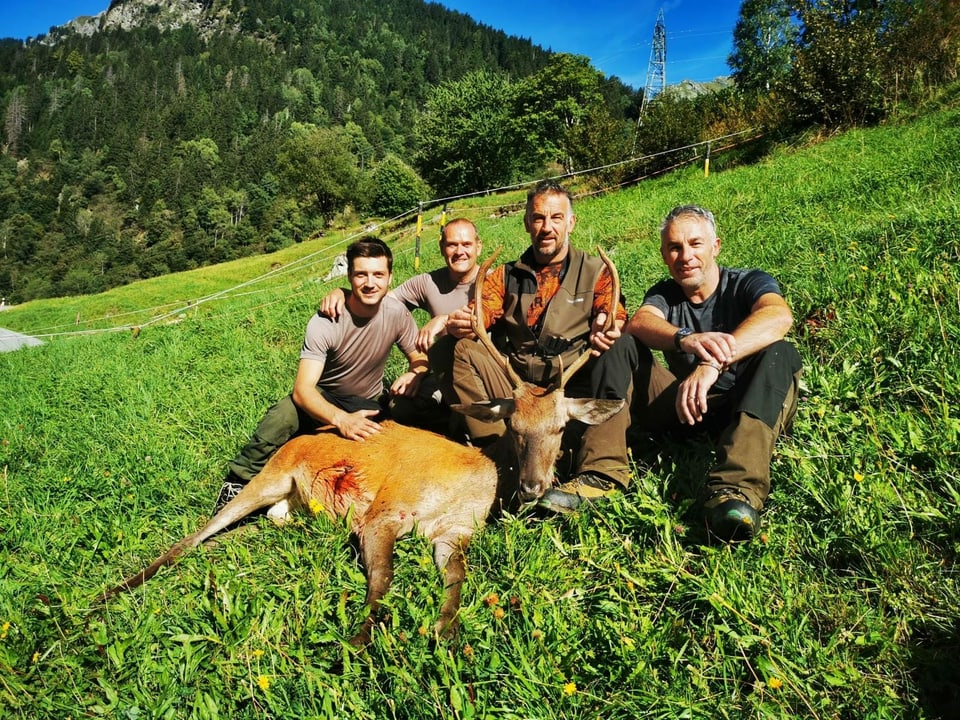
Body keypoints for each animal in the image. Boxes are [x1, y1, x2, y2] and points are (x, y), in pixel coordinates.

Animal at [99, 248, 624, 648]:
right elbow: (383, 580)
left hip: (285, 507)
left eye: (561, 428)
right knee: (196, 534)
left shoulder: (454, 532)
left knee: (239, 532)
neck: (472, 485)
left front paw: (446, 631)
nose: (534, 486)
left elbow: (458, 579)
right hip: (271, 474)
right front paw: (355, 643)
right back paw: (106, 596)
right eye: (513, 426)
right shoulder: (385, 511)